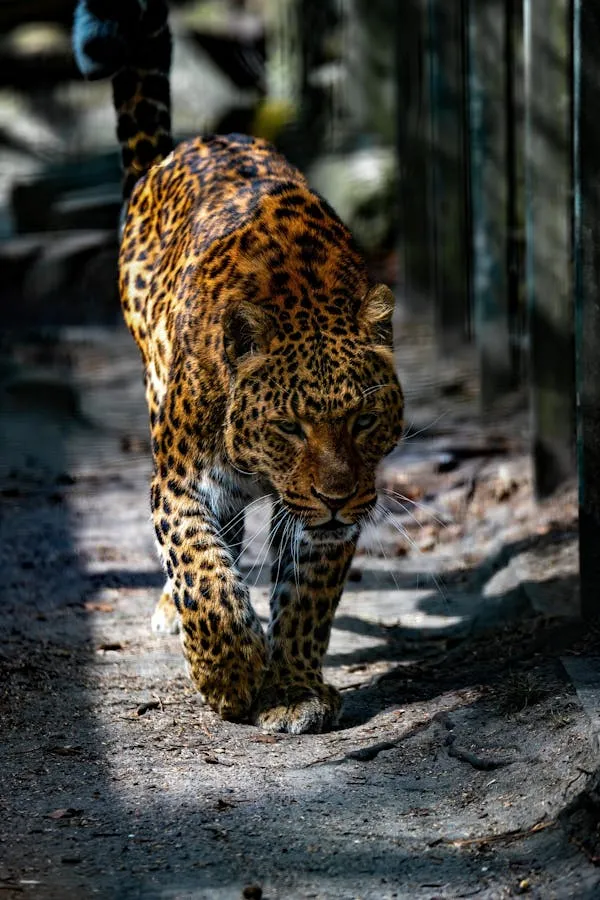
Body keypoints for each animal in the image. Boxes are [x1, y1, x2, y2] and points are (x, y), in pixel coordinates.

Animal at [73, 0, 404, 733]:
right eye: (288, 427)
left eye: (364, 420)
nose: (338, 495)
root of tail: (193, 143)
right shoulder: (178, 484)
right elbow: (201, 567)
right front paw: (228, 672)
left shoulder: (325, 523)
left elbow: (307, 599)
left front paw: (293, 688)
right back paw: (178, 613)